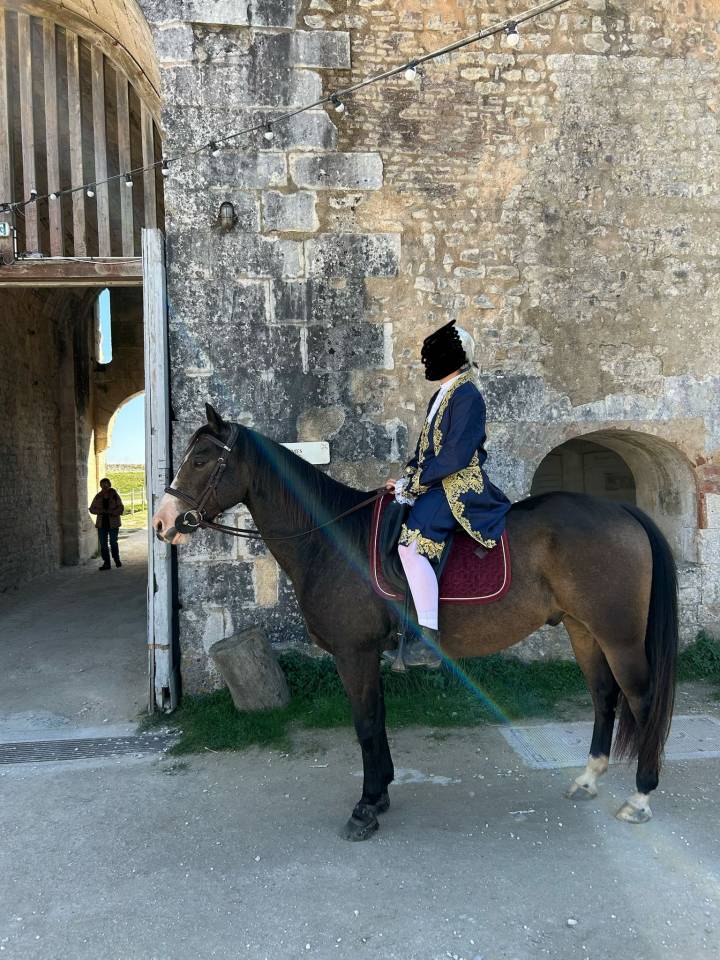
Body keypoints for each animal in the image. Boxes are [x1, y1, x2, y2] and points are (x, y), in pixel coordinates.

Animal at [152, 403, 678, 841]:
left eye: (201, 459)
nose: (162, 523)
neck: (331, 538)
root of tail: (621, 510)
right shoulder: (367, 654)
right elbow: (378, 720)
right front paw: (381, 793)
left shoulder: (354, 653)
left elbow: (365, 723)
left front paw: (365, 808)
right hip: (582, 629)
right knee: (604, 696)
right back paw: (588, 778)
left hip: (619, 635)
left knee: (642, 700)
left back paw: (640, 795)